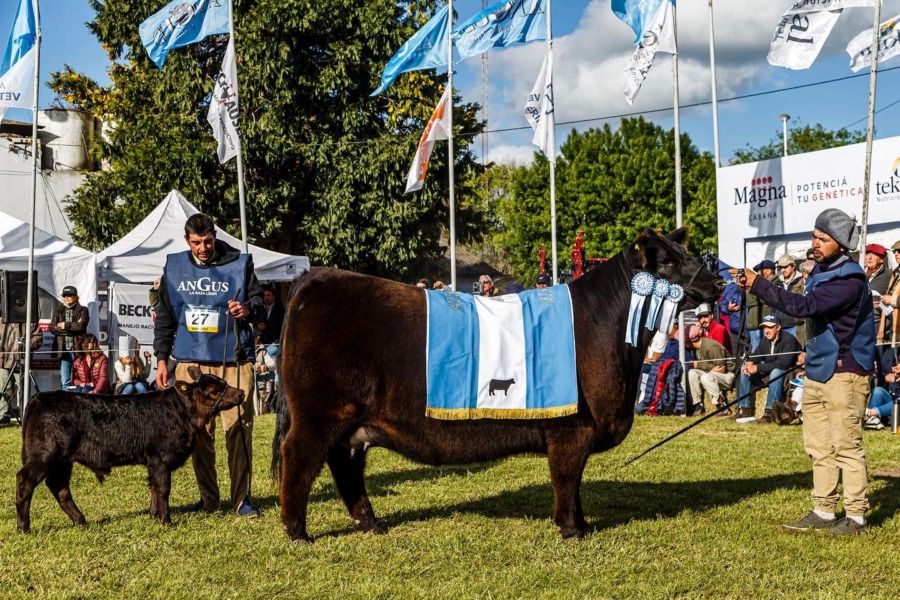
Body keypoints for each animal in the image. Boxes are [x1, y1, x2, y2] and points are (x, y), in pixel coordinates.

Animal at [16, 366, 244, 533]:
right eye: (213, 391)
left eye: (223, 382)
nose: (241, 393)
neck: (183, 413)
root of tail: (41, 397)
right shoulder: (161, 458)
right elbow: (163, 489)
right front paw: (166, 521)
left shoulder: (153, 462)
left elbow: (153, 487)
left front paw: (153, 515)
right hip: (46, 454)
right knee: (25, 480)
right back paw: (24, 528)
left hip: (62, 460)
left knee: (59, 487)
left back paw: (80, 521)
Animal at [272, 228, 723, 541]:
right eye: (666, 263)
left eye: (687, 254)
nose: (718, 283)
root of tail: (316, 278)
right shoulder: (571, 429)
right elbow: (566, 478)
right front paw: (571, 530)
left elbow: (574, 483)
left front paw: (582, 524)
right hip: (318, 412)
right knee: (299, 456)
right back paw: (297, 532)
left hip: (352, 423)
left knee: (344, 466)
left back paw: (370, 523)